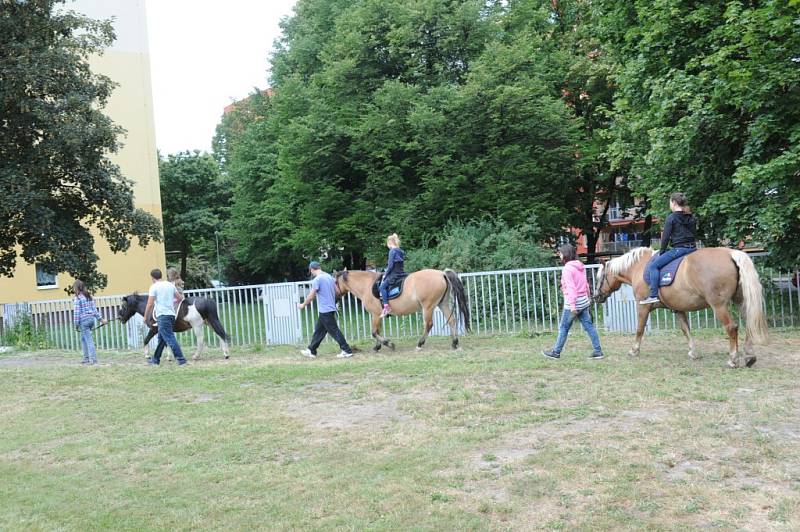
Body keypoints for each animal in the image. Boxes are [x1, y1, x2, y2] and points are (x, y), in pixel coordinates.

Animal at [332, 268, 468, 352]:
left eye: (334, 282)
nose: (334, 298)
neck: (367, 285)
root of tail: (442, 273)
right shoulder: (378, 316)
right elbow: (378, 331)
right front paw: (378, 347)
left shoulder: (375, 315)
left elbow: (374, 332)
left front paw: (389, 344)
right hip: (442, 304)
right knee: (452, 321)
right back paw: (454, 343)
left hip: (428, 307)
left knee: (428, 325)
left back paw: (420, 344)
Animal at [592, 247, 768, 368]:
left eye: (599, 277)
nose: (596, 296)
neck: (639, 267)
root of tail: (731, 253)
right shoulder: (678, 308)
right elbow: (685, 329)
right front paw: (693, 352)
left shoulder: (642, 308)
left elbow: (639, 329)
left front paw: (634, 350)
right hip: (741, 301)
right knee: (749, 323)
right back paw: (749, 356)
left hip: (719, 306)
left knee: (731, 327)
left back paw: (733, 360)